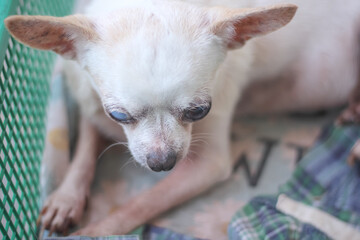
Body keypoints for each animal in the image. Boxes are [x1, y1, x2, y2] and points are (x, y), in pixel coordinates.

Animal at [3, 0, 360, 236]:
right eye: (117, 114)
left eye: (200, 110)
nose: (163, 162)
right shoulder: (90, 104)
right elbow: (85, 149)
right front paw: (66, 197)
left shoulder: (209, 164)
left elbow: (142, 203)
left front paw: (93, 232)